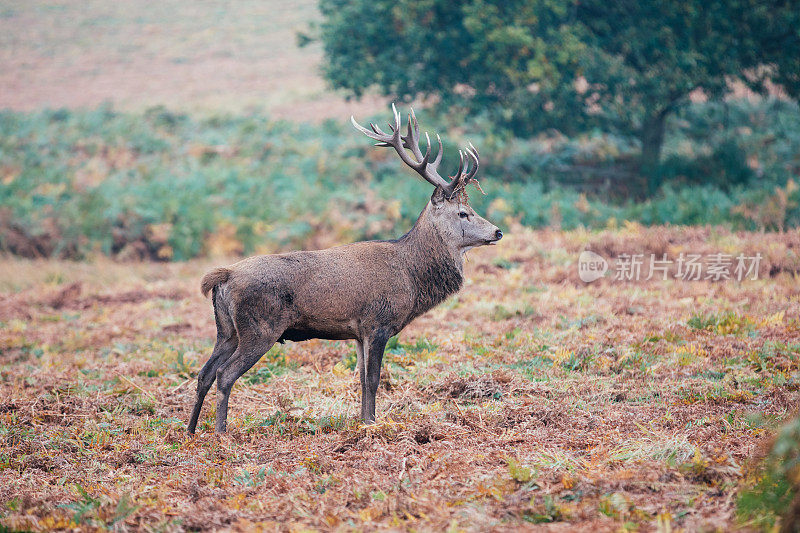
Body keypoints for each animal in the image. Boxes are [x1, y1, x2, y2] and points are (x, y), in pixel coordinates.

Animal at [188, 104, 500, 432]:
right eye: (463, 213)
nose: (497, 232)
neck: (412, 276)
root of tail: (224, 275)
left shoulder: (358, 331)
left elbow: (361, 380)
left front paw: (363, 421)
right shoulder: (378, 322)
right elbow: (373, 380)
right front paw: (372, 424)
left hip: (226, 330)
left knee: (204, 373)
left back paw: (191, 431)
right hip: (259, 328)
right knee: (224, 374)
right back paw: (221, 432)